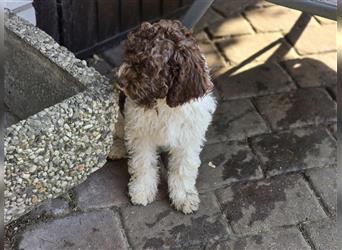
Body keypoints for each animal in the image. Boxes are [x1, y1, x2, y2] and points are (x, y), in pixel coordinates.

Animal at [112, 20, 215, 214]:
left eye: (148, 66)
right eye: (129, 54)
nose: (120, 81)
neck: (164, 103)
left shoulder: (189, 137)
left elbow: (183, 167)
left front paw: (184, 196)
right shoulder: (140, 133)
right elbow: (143, 162)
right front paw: (142, 190)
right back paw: (116, 147)